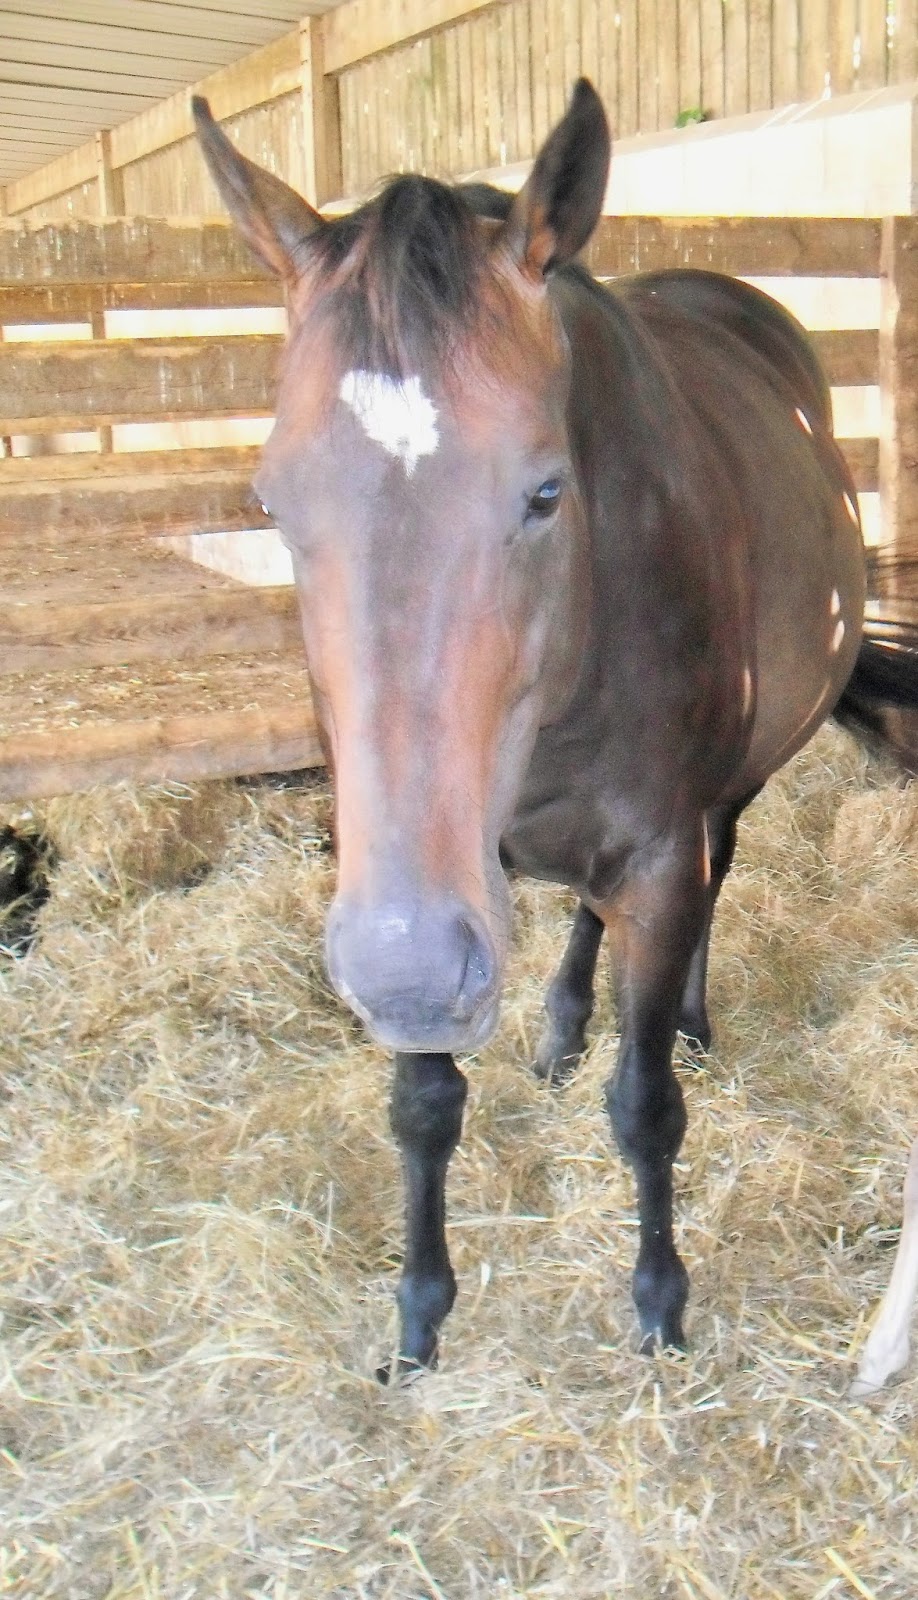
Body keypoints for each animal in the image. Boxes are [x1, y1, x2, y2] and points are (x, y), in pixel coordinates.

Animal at [194, 81, 918, 1380]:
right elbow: (424, 1107)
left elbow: (644, 1105)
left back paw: (684, 1013)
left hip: (724, 796)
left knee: (715, 873)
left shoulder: (654, 852)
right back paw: (564, 1027)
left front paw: (660, 1302)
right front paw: (419, 1315)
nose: (407, 971)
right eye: (272, 503)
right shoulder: (414, 876)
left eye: (544, 490)